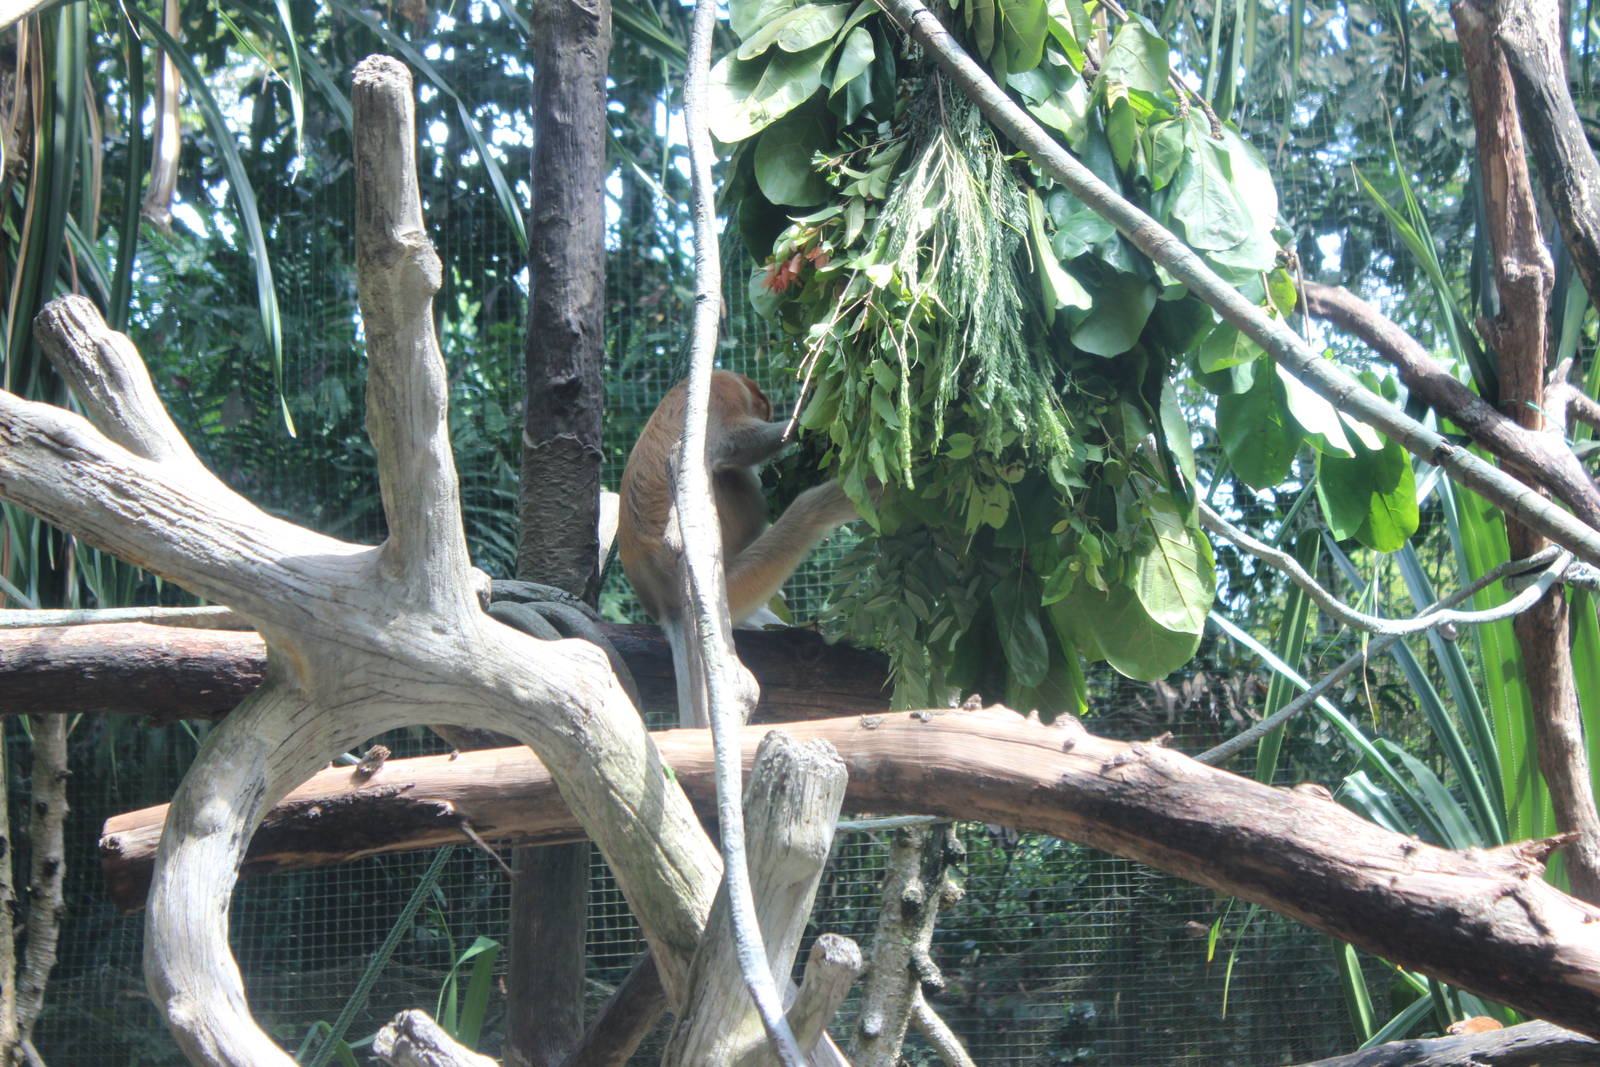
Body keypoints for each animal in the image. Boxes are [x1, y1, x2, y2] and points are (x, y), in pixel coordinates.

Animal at [618, 370, 865, 722]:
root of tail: (666, 605)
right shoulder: (721, 393)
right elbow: (736, 443)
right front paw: (805, 420)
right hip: (729, 585)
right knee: (783, 500)